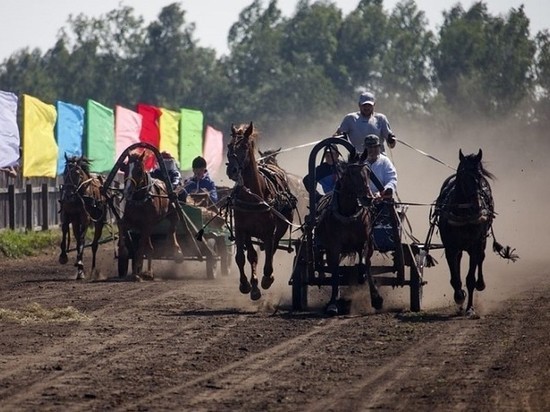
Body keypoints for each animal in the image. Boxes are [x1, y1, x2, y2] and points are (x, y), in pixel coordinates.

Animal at [119, 151, 183, 280]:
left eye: (139, 170)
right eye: (125, 168)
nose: (127, 191)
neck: (141, 200)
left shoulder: (147, 224)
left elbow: (140, 249)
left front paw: (136, 275)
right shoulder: (131, 221)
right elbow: (121, 225)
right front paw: (123, 252)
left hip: (172, 211)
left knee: (173, 227)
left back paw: (176, 251)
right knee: (149, 248)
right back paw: (148, 272)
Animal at [226, 122, 298, 300]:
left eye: (244, 146)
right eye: (229, 145)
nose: (232, 170)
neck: (253, 197)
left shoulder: (268, 231)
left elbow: (268, 254)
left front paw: (266, 278)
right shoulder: (241, 230)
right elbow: (244, 257)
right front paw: (248, 285)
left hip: (281, 227)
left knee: (273, 248)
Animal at [314, 158, 384, 316]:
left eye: (368, 172)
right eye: (351, 173)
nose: (368, 198)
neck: (348, 214)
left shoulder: (364, 242)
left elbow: (364, 263)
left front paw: (372, 293)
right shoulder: (333, 247)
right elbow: (335, 272)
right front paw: (333, 303)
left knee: (367, 263)